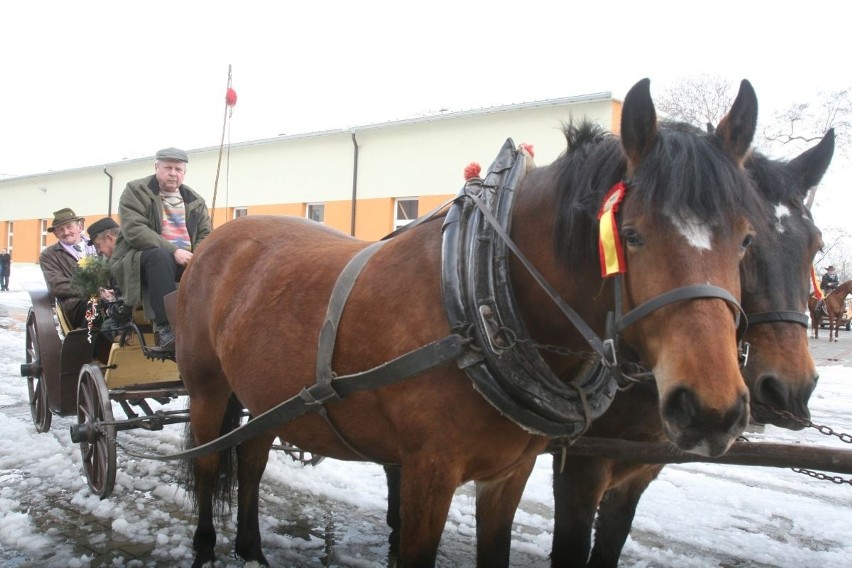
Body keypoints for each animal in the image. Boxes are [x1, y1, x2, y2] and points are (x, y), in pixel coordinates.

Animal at [176, 77, 764, 564]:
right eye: (633, 234)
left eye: (746, 239)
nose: (712, 411)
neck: (481, 299)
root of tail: (218, 240)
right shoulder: (428, 472)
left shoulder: (509, 474)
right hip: (207, 386)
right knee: (207, 464)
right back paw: (205, 546)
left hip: (265, 396)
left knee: (251, 457)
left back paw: (251, 549)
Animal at [544, 131, 832, 568]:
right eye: (750, 243)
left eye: (814, 246)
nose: (790, 391)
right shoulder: (578, 469)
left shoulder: (640, 470)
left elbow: (611, 541)